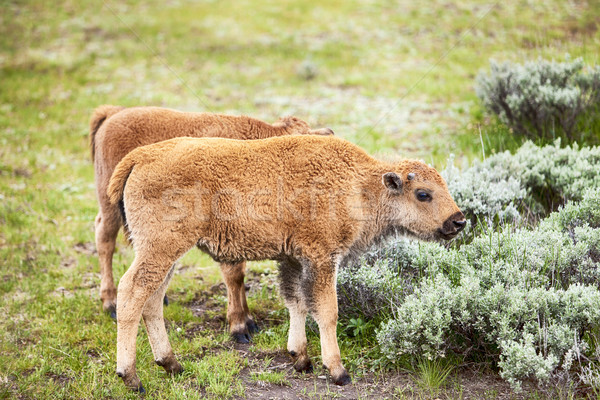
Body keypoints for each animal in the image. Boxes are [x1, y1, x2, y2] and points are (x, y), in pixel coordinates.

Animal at [89, 104, 332, 342]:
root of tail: (113, 113)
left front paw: (248, 321)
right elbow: (234, 276)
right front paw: (240, 326)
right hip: (110, 206)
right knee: (105, 240)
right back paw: (110, 304)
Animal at [106, 134, 464, 390]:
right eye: (423, 193)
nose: (459, 221)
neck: (359, 186)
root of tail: (141, 157)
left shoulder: (293, 259)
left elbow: (297, 303)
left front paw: (300, 358)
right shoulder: (322, 258)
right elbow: (327, 311)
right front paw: (338, 371)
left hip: (165, 253)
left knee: (152, 300)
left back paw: (171, 364)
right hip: (161, 248)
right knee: (132, 293)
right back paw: (131, 377)